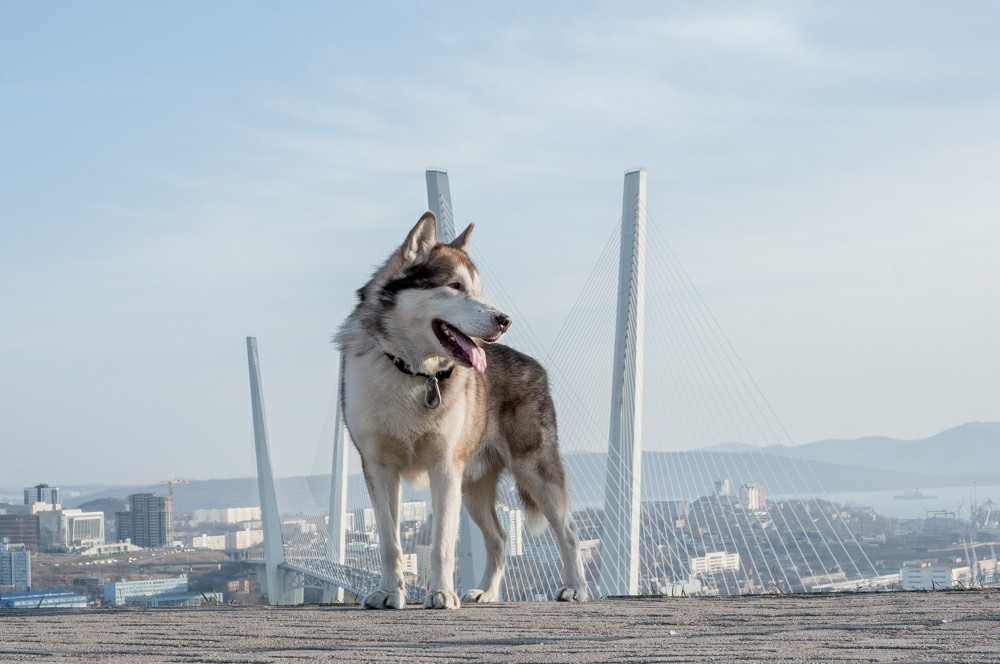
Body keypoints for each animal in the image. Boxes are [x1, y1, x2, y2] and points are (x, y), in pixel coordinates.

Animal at [334, 211, 584, 608]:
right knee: (499, 539)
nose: (504, 320)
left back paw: (575, 587)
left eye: (478, 289)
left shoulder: (444, 468)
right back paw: (487, 593)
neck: (410, 371)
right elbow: (389, 543)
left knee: (570, 531)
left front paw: (439, 592)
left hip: (535, 470)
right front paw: (389, 592)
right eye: (454, 286)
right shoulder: (378, 467)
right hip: (474, 487)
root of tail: (534, 364)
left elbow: (441, 543)